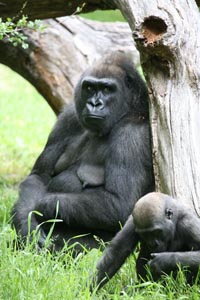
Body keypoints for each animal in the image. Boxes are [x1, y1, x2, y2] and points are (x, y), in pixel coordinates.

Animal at [10, 51, 154, 251]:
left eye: (107, 89)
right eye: (90, 87)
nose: (94, 103)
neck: (126, 111)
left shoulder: (133, 133)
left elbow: (121, 203)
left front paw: (42, 206)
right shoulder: (69, 116)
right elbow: (39, 176)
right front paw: (27, 225)